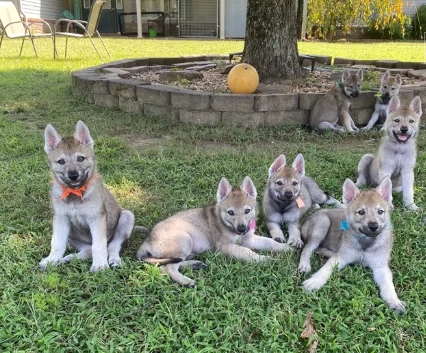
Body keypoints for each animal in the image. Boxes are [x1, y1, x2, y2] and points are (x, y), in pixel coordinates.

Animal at [39, 119, 135, 270]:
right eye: (61, 161)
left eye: (80, 158)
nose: (73, 175)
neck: (75, 195)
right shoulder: (61, 219)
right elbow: (57, 243)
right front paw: (51, 260)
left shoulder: (96, 219)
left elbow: (99, 245)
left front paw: (100, 265)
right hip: (71, 233)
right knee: (88, 249)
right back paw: (67, 259)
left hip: (127, 217)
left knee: (112, 246)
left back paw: (114, 260)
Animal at [300, 177, 406, 312]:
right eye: (361, 212)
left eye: (380, 211)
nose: (373, 226)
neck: (366, 243)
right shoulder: (341, 257)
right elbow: (325, 270)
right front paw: (314, 282)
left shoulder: (380, 266)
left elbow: (388, 285)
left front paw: (394, 301)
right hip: (322, 223)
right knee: (308, 248)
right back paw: (304, 264)